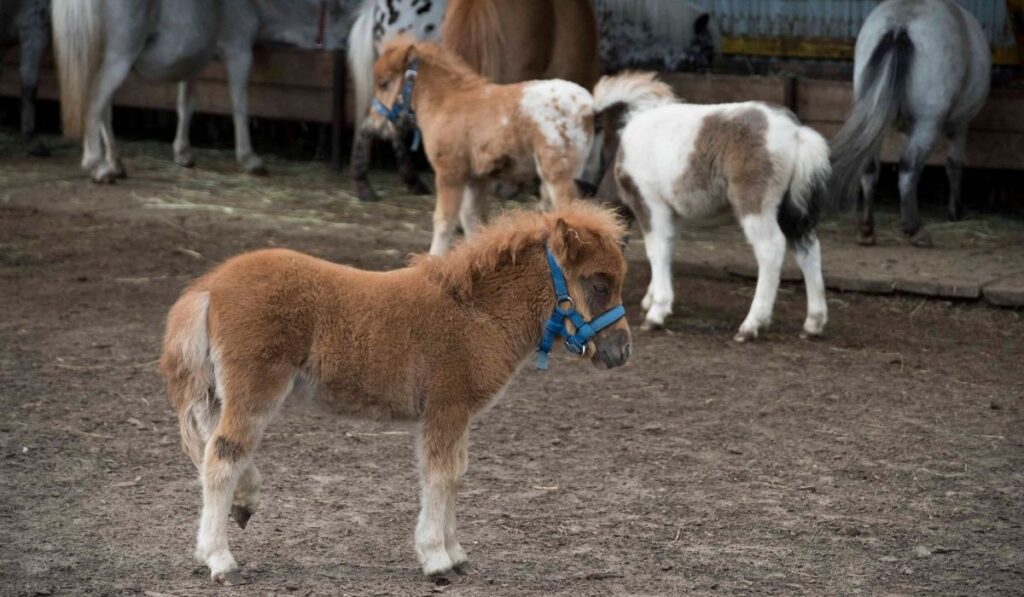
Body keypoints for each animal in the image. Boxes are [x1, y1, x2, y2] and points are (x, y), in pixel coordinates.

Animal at [50, 0, 359, 183]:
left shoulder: (193, 59)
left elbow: (186, 105)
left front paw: (183, 153)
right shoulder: (239, 52)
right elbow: (240, 106)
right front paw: (249, 159)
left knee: (104, 109)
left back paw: (115, 162)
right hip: (118, 57)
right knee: (95, 102)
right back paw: (98, 165)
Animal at [160, 202, 631, 585]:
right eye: (598, 283)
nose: (621, 351)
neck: (477, 314)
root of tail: (209, 287)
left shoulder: (457, 414)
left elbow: (457, 474)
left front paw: (457, 554)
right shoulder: (446, 408)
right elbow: (440, 475)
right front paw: (437, 560)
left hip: (220, 392)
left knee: (212, 447)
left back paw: (243, 505)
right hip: (255, 389)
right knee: (222, 456)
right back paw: (221, 561)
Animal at [370, 38, 596, 255]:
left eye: (384, 83)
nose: (375, 124)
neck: (446, 101)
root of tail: (588, 104)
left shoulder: (449, 172)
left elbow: (444, 221)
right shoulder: (475, 178)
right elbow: (472, 219)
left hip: (558, 175)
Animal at [593, 72, 832, 341]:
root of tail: (796, 132)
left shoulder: (651, 203)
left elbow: (656, 249)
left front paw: (656, 312)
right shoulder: (670, 212)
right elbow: (668, 247)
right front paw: (651, 299)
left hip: (756, 205)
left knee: (771, 250)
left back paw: (751, 325)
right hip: (790, 210)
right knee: (808, 248)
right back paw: (813, 323)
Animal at [830, 0, 992, 247]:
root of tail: (900, 25)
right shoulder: (960, 123)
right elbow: (954, 165)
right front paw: (955, 211)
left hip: (875, 119)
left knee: (869, 166)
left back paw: (867, 229)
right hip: (928, 122)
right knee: (909, 168)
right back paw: (915, 229)